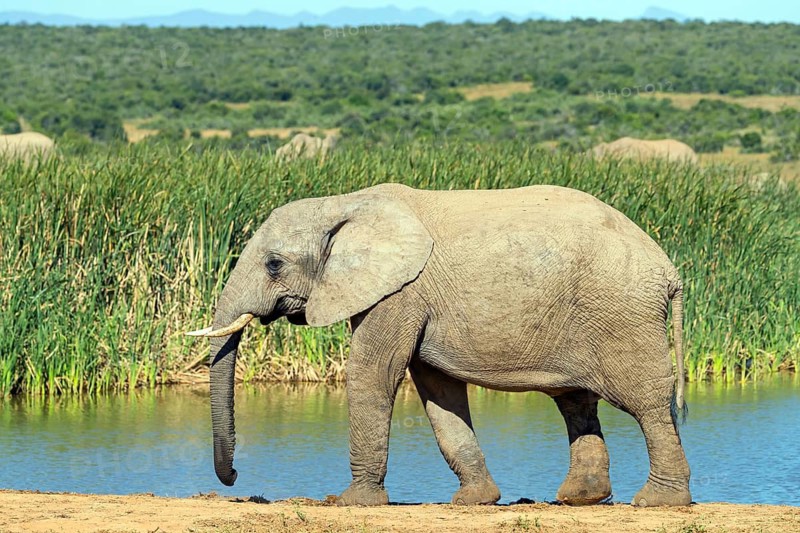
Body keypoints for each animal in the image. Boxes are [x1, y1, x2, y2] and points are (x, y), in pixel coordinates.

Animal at [188, 183, 691, 508]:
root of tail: (669, 270)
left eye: (274, 265)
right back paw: (579, 499)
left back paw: (658, 502)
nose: (234, 479)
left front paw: (348, 502)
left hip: (622, 313)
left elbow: (371, 375)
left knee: (646, 402)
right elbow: (438, 391)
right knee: (575, 402)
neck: (343, 204)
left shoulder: (400, 293)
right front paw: (474, 501)